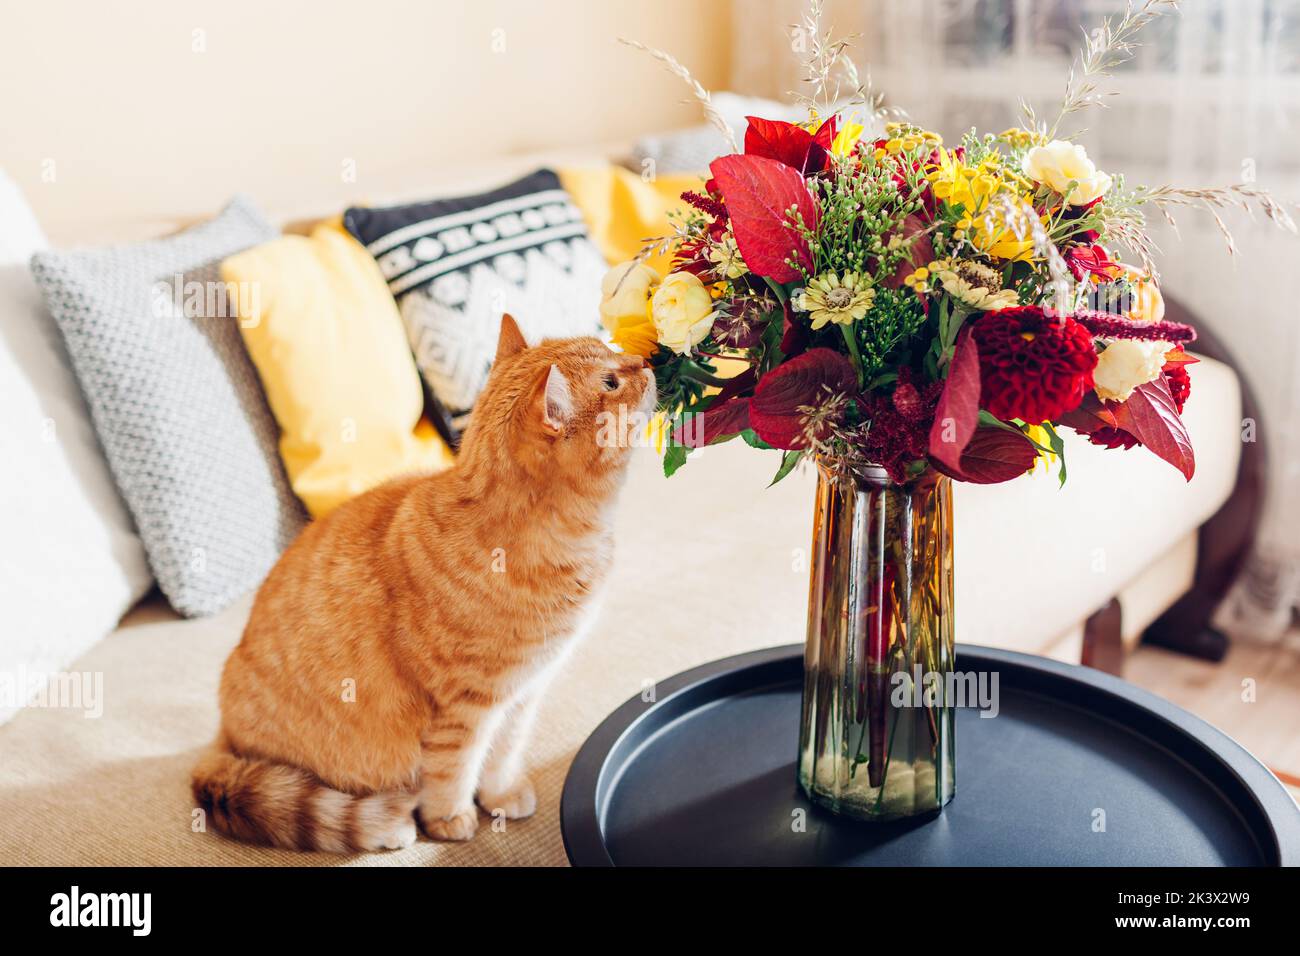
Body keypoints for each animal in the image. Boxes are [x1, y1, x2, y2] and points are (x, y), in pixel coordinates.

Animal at [189, 316, 660, 853]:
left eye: (610, 350)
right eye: (611, 382)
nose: (648, 361)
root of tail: (221, 738)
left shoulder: (521, 695)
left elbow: (502, 755)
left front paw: (500, 796)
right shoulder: (463, 710)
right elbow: (452, 771)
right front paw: (452, 819)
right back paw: (390, 824)